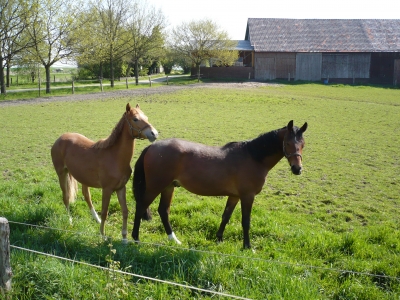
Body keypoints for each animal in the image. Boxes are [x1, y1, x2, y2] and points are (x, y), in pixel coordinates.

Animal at [52, 103, 159, 241]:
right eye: (135, 119)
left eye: (146, 117)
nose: (154, 133)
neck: (115, 157)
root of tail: (60, 139)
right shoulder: (107, 189)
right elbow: (105, 212)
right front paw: (103, 236)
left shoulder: (121, 188)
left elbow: (125, 211)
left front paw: (124, 238)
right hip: (62, 174)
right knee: (66, 197)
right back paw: (70, 221)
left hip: (82, 178)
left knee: (87, 196)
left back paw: (96, 219)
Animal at [133, 120, 308, 248]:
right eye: (288, 143)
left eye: (302, 144)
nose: (297, 169)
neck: (253, 157)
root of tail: (152, 147)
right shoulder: (247, 196)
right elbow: (246, 221)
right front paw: (247, 246)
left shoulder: (234, 196)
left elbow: (226, 216)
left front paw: (219, 239)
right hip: (155, 187)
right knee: (141, 206)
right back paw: (135, 238)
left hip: (168, 187)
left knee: (163, 211)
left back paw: (173, 239)